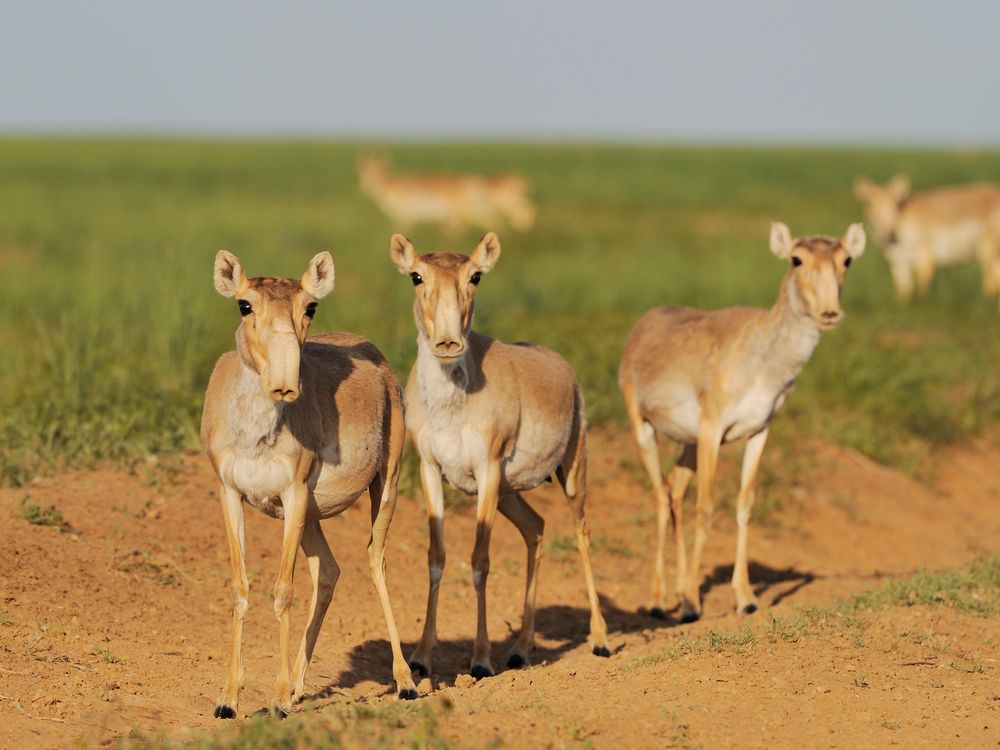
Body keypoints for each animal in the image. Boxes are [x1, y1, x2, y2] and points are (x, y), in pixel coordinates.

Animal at [201, 251, 416, 716]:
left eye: (310, 306)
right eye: (244, 305)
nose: (285, 383)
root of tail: (376, 355)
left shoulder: (294, 492)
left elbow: (283, 590)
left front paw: (279, 699)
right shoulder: (231, 493)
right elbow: (241, 586)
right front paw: (228, 699)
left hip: (384, 485)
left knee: (376, 561)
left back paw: (406, 681)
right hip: (312, 517)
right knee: (330, 570)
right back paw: (302, 685)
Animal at [356, 159, 536, 238]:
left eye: (378, 171)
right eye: (363, 172)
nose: (367, 185)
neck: (390, 184)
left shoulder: (406, 212)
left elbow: (401, 228)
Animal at [388, 232, 608, 680]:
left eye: (476, 275)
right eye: (416, 275)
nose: (448, 342)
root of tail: (562, 367)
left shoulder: (487, 471)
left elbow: (479, 560)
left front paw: (481, 660)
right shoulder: (431, 470)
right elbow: (436, 557)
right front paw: (420, 658)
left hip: (571, 471)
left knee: (581, 533)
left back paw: (600, 640)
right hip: (510, 494)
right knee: (536, 528)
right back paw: (521, 650)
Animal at [620, 222, 864, 624]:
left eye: (846, 259)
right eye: (796, 259)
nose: (830, 312)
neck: (763, 358)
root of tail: (642, 326)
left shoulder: (759, 431)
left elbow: (745, 506)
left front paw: (745, 598)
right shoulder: (712, 429)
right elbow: (706, 509)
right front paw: (692, 604)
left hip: (688, 445)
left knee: (674, 490)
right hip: (643, 427)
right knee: (659, 495)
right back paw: (659, 600)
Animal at [852, 175, 1000, 304]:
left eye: (895, 202)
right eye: (868, 203)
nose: (889, 236)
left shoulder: (924, 256)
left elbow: (921, 284)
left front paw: (924, 303)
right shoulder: (898, 262)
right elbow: (903, 289)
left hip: (986, 251)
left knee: (991, 280)